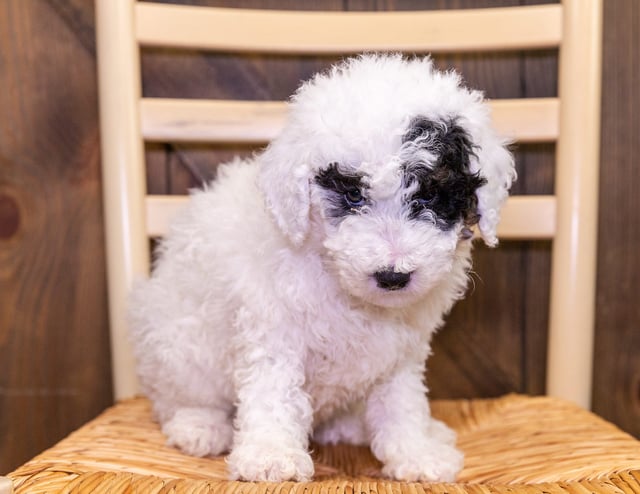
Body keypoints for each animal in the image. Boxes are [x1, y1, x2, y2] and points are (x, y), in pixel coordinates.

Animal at [130, 54, 516, 482]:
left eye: (430, 195)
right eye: (351, 194)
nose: (392, 276)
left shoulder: (402, 350)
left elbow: (402, 402)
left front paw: (416, 452)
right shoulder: (274, 327)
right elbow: (273, 390)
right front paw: (271, 455)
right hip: (179, 347)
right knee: (177, 397)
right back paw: (199, 426)